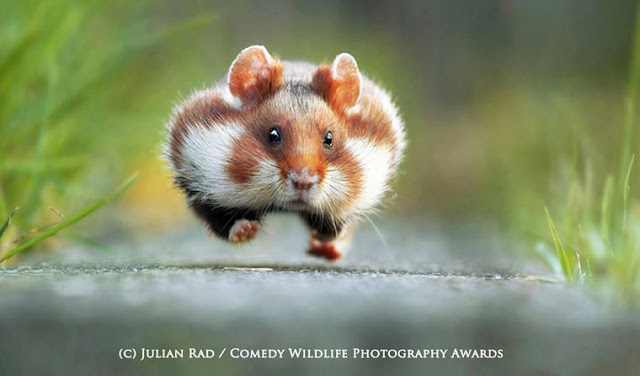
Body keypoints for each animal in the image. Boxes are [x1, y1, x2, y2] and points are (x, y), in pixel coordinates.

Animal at [165, 45, 404, 260]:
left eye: (329, 139)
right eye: (273, 135)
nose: (304, 182)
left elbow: (336, 225)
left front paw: (321, 236)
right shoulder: (202, 186)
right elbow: (223, 223)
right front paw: (246, 230)